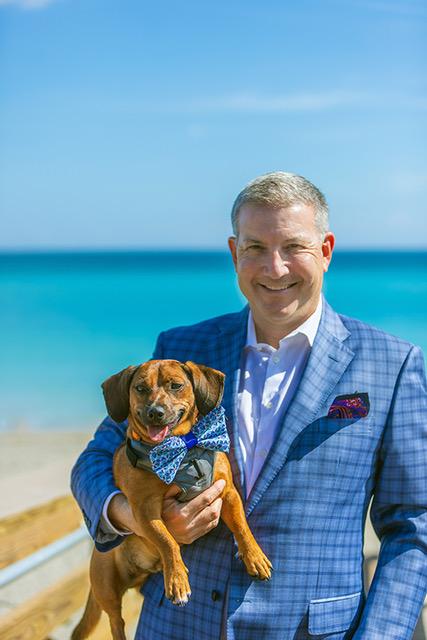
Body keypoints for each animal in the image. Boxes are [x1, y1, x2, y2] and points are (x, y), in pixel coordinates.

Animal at [72, 360, 272, 640]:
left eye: (176, 385)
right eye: (140, 388)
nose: (155, 412)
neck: (183, 449)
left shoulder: (228, 492)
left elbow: (242, 528)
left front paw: (254, 556)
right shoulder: (145, 512)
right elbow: (168, 542)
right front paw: (177, 578)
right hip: (107, 586)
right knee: (115, 621)